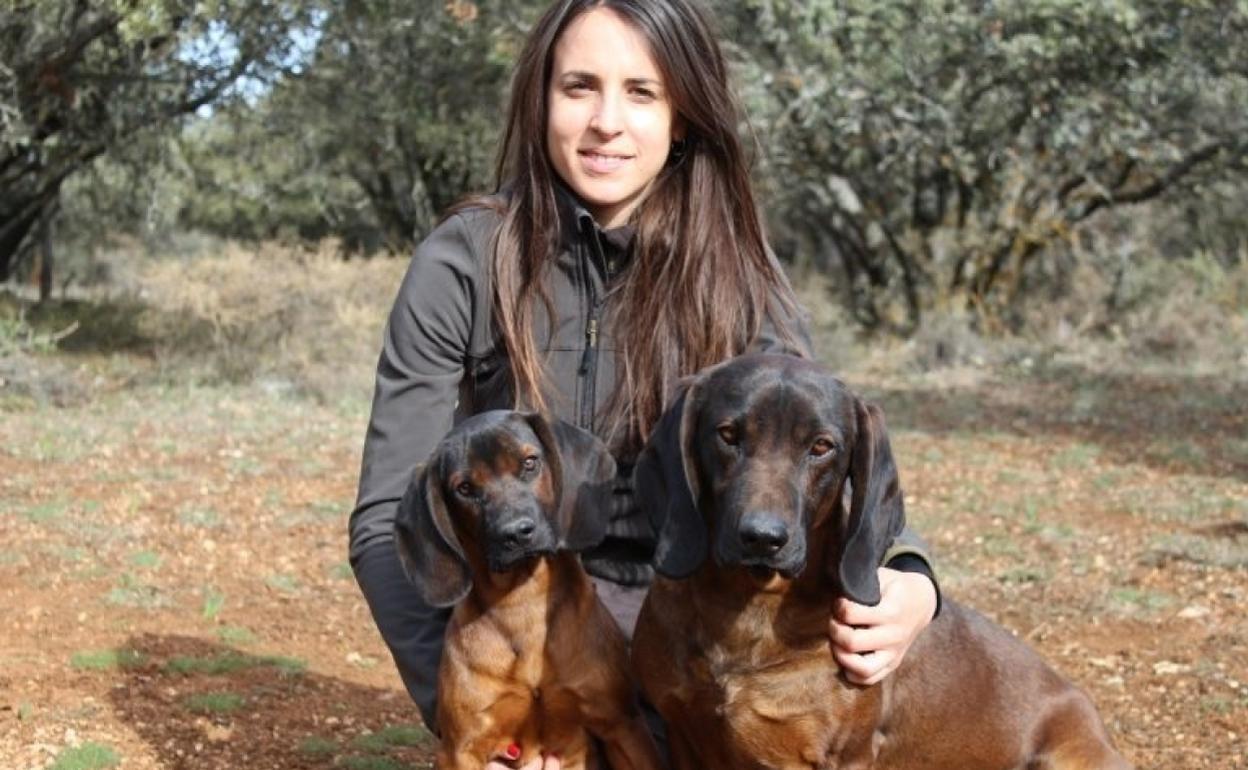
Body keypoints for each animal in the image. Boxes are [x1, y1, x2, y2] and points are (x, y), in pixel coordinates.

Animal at [394, 409, 668, 768]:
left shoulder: (623, 726)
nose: (516, 532)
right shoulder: (461, 749)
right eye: (464, 488)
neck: (522, 603)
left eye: (530, 462)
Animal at [633, 351, 1133, 768]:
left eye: (821, 446)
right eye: (728, 435)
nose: (762, 537)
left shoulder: (846, 756)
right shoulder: (683, 735)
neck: (745, 615)